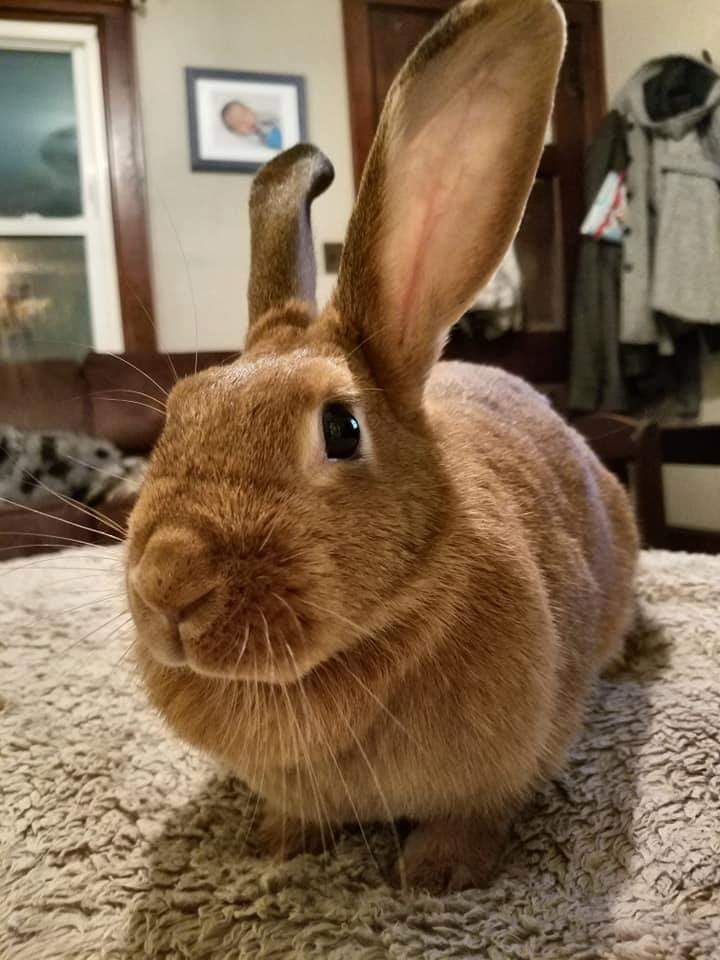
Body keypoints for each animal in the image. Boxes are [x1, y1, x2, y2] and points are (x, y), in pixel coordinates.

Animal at [126, 0, 640, 896]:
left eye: (341, 428)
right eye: (178, 413)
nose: (167, 583)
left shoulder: (497, 774)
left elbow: (471, 818)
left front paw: (436, 877)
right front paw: (279, 845)